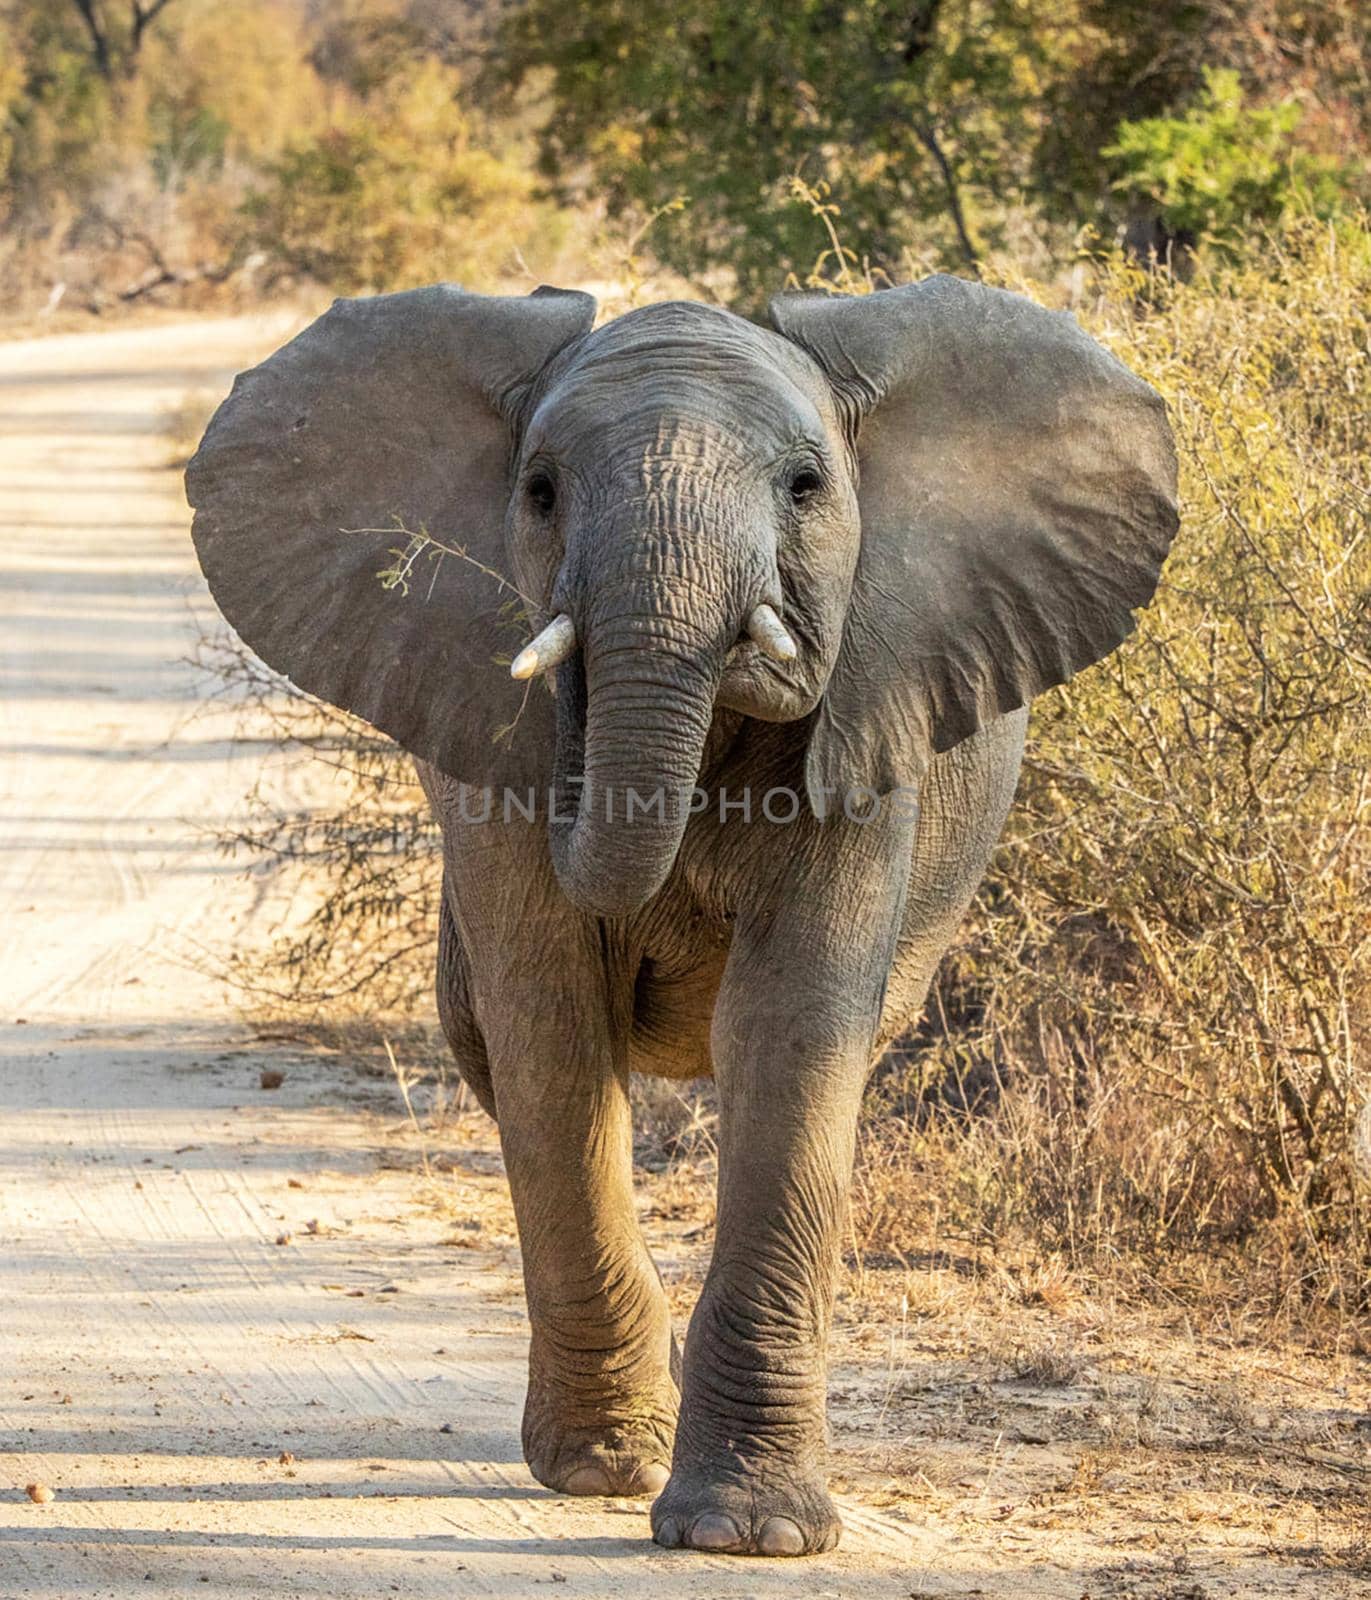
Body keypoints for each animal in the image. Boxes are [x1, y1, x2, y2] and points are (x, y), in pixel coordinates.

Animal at [187, 278, 1177, 1561]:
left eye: (807, 486)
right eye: (540, 491)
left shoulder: (868, 725)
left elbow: (792, 1030)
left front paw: (746, 1533)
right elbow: (552, 1027)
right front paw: (607, 1468)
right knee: (495, 1045)